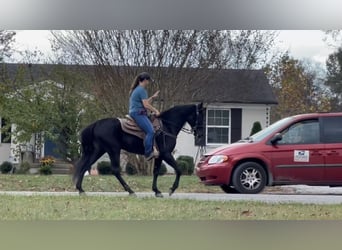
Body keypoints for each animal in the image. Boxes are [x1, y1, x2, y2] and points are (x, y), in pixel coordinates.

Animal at [72, 102, 203, 196]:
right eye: (200, 115)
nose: (200, 134)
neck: (167, 127)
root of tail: (96, 124)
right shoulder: (166, 154)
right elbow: (179, 170)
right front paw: (172, 189)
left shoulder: (159, 156)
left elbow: (156, 171)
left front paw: (156, 191)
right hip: (113, 150)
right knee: (115, 170)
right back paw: (130, 191)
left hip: (99, 150)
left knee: (85, 165)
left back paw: (81, 189)